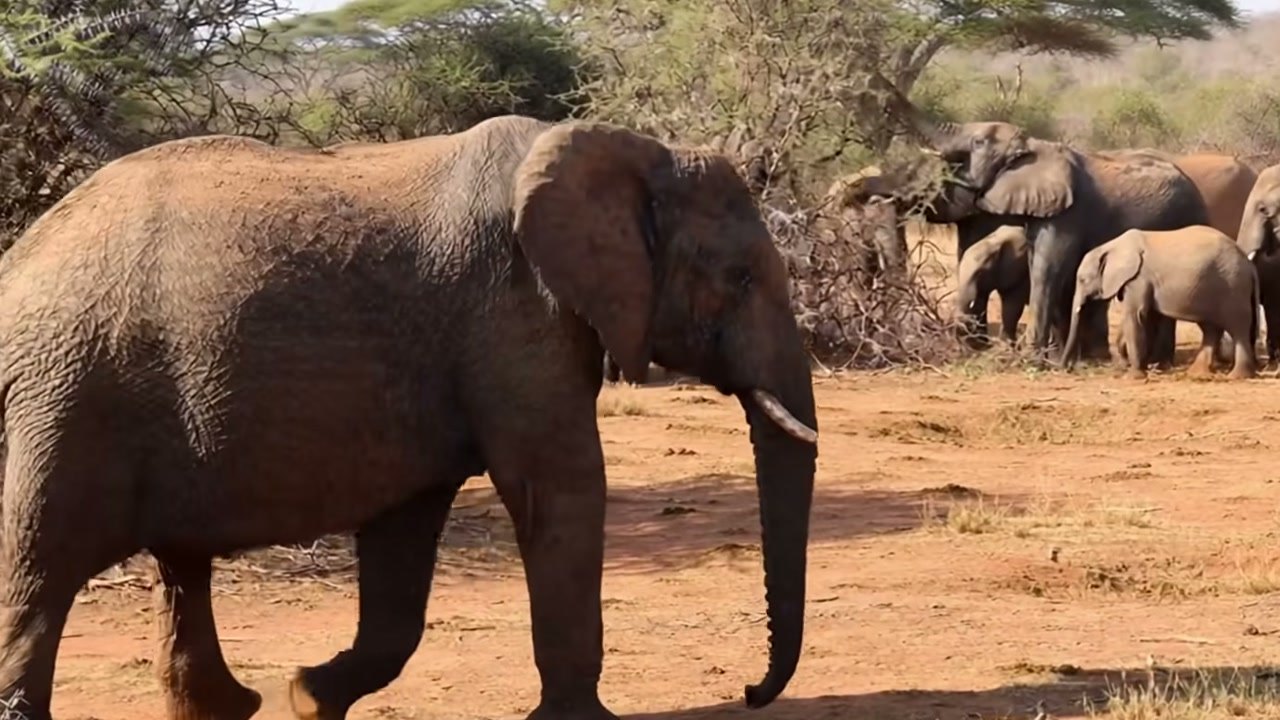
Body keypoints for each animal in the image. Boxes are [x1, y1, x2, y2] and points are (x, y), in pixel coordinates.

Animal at [0, 115, 819, 720]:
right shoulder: (515, 310)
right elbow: (559, 485)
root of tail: (22, 257)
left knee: (178, 565)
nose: (751, 692)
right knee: (41, 572)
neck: (638, 149)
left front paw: (308, 696)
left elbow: (406, 530)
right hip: (67, 393)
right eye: (741, 279)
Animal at [1063, 226, 1259, 380]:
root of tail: (1249, 264)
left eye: (1082, 280)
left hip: (1233, 287)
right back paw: (1196, 373)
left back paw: (1237, 376)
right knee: (1211, 328)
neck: (1112, 246)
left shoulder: (1138, 279)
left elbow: (1136, 316)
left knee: (1237, 328)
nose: (1067, 368)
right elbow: (1148, 317)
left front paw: (1133, 377)